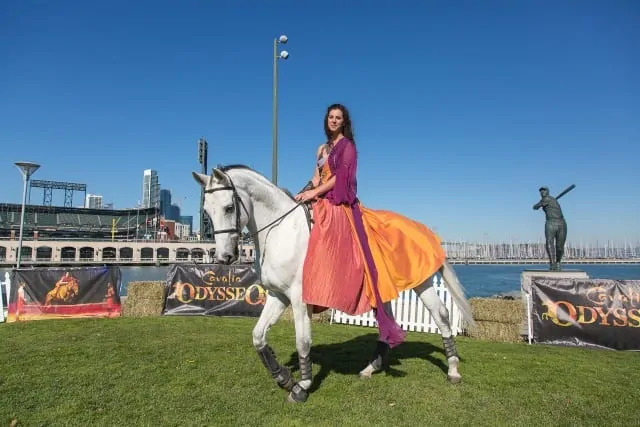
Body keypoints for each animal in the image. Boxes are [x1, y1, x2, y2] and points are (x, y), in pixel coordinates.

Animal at [192, 166, 478, 406]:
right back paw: (371, 368)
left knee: (441, 315)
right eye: (207, 212)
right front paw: (283, 376)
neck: (281, 231)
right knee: (388, 324)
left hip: (422, 283)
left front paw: (302, 386)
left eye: (229, 207)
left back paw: (453, 369)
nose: (224, 257)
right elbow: (258, 336)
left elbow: (303, 341)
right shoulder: (277, 296)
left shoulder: (299, 299)